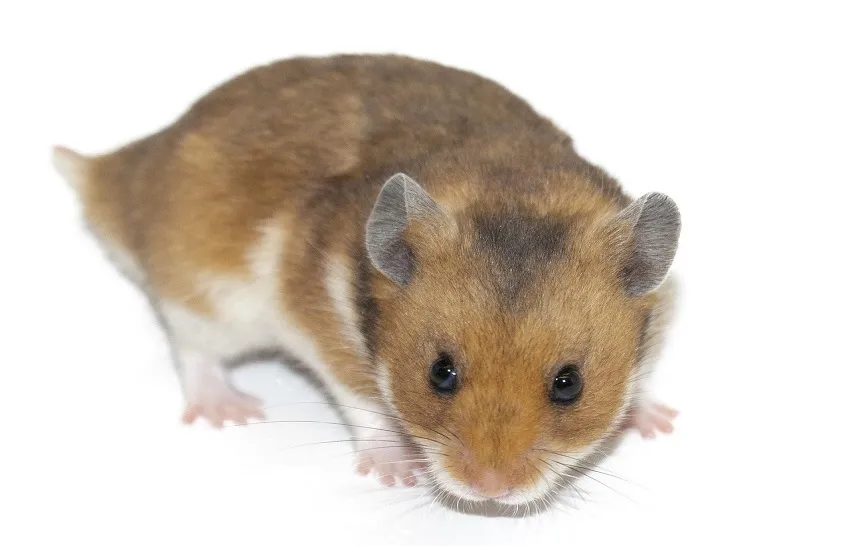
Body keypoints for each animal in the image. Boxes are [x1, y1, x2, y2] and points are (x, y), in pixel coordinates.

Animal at [53, 54, 681, 505]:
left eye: (569, 384)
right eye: (440, 373)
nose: (488, 490)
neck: (507, 179)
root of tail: (121, 172)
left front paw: (659, 424)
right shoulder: (321, 323)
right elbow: (363, 400)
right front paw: (397, 475)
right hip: (203, 299)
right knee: (192, 353)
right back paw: (232, 411)